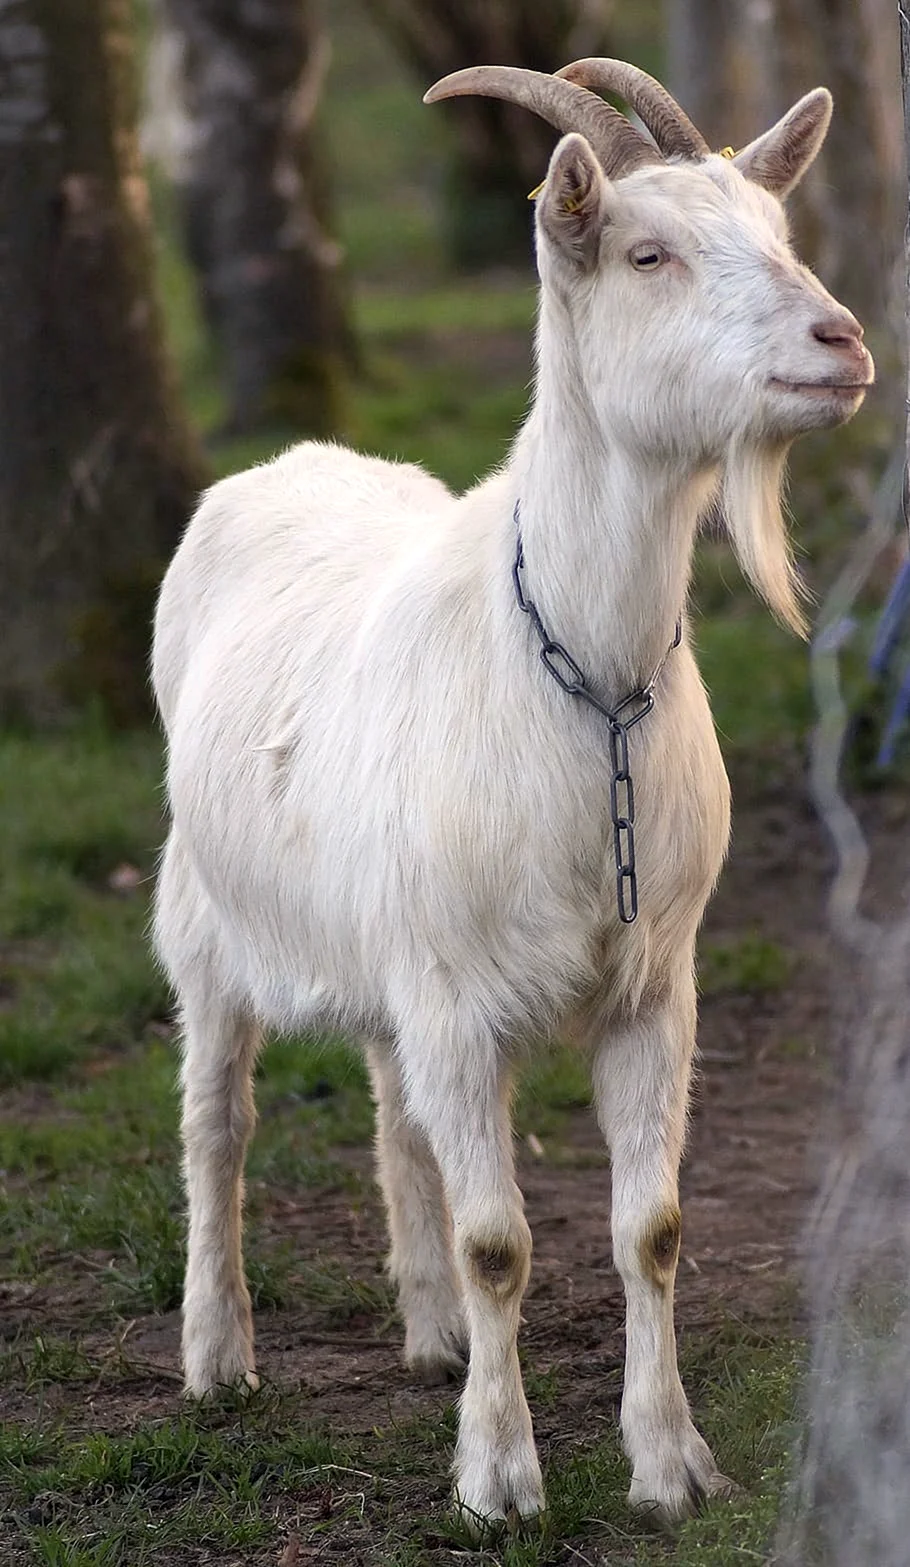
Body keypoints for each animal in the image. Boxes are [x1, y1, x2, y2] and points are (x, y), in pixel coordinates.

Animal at [152, 59, 873, 1531]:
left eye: (774, 232)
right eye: (648, 253)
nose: (840, 341)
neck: (584, 684)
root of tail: (290, 460)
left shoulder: (654, 984)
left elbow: (649, 1227)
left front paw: (668, 1464)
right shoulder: (453, 996)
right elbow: (501, 1241)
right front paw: (499, 1478)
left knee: (391, 1112)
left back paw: (428, 1332)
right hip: (201, 913)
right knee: (219, 1121)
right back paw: (217, 1354)